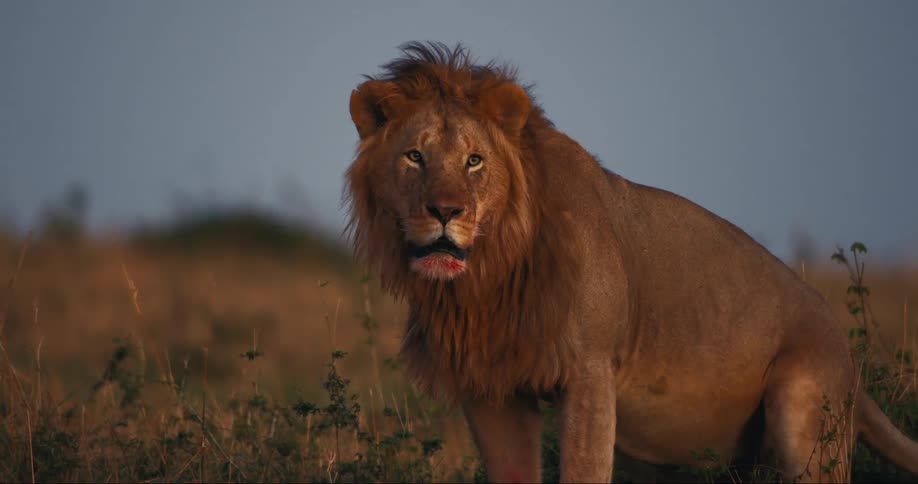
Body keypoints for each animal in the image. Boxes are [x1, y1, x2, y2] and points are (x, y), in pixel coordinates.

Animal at [344, 42, 918, 483]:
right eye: (414, 156)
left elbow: (583, 471)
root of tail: (850, 360)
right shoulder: (492, 389)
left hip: (806, 416)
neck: (488, 278)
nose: (445, 211)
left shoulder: (590, 371)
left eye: (474, 161)